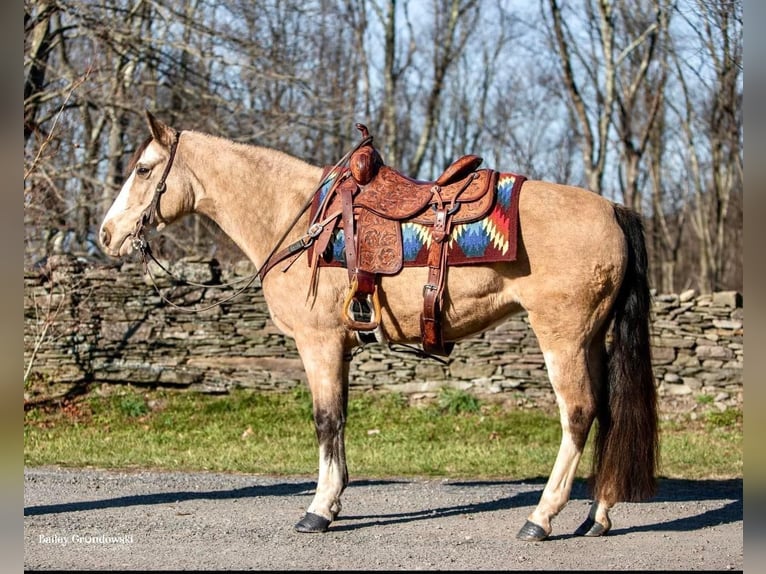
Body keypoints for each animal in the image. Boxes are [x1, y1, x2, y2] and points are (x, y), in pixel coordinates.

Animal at [97, 112, 660, 544]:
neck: (299, 220)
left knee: (578, 415)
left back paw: (541, 518)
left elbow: (326, 421)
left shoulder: (319, 343)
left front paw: (318, 511)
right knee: (608, 415)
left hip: (563, 339)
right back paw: (597, 516)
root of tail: (614, 209)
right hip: (592, 339)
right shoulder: (340, 347)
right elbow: (340, 421)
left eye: (143, 169)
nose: (106, 234)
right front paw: (333, 501)